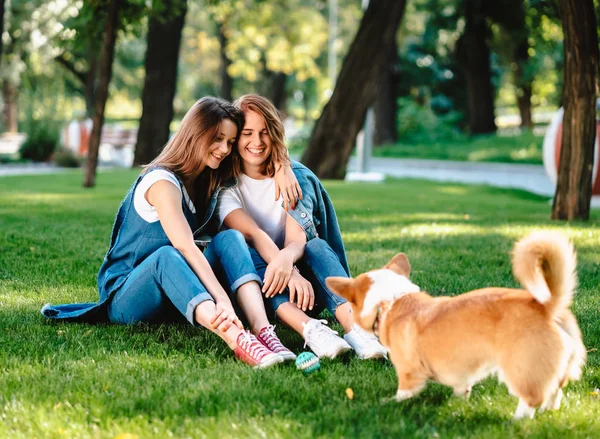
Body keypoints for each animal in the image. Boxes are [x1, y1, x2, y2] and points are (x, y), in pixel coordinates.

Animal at [328, 230, 584, 420]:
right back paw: (549, 411)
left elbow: (404, 392)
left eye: (351, 307)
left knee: (532, 398)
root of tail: (548, 307)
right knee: (556, 389)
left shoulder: (409, 371)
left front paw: (389, 403)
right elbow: (462, 388)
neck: (392, 300)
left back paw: (516, 420)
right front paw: (457, 403)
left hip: (520, 367)